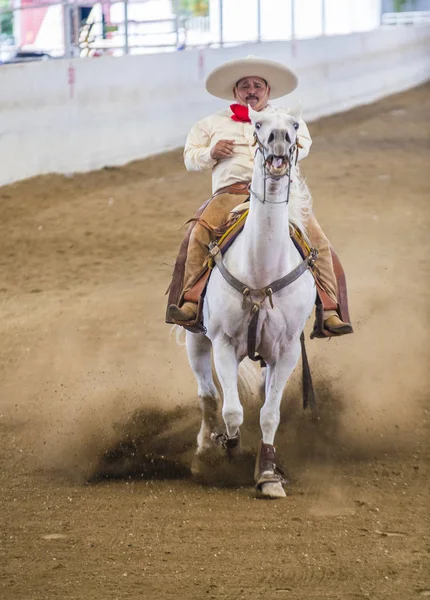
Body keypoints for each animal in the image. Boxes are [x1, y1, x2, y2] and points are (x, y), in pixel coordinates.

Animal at [185, 106, 316, 496]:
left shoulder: (287, 351)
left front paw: (269, 474)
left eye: (294, 126)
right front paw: (228, 449)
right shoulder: (224, 343)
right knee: (208, 394)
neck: (261, 272)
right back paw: (205, 447)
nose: (279, 141)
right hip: (196, 339)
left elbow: (269, 414)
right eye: (258, 125)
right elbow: (232, 411)